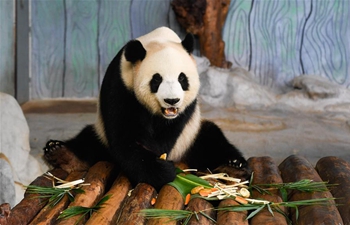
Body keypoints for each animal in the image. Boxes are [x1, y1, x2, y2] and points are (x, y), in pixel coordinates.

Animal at [44, 26, 249, 192]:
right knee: (88, 142)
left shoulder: (186, 111)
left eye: (182, 78)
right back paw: (59, 152)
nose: (172, 100)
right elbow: (124, 137)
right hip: (100, 135)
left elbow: (167, 139)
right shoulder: (120, 85)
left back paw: (233, 166)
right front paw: (162, 171)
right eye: (156, 79)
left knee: (211, 140)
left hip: (191, 136)